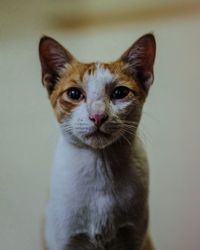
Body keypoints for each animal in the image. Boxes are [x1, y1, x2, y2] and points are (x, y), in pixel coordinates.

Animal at [38, 33, 156, 250]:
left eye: (119, 93)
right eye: (74, 94)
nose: (98, 116)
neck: (101, 167)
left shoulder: (134, 238)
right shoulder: (65, 241)